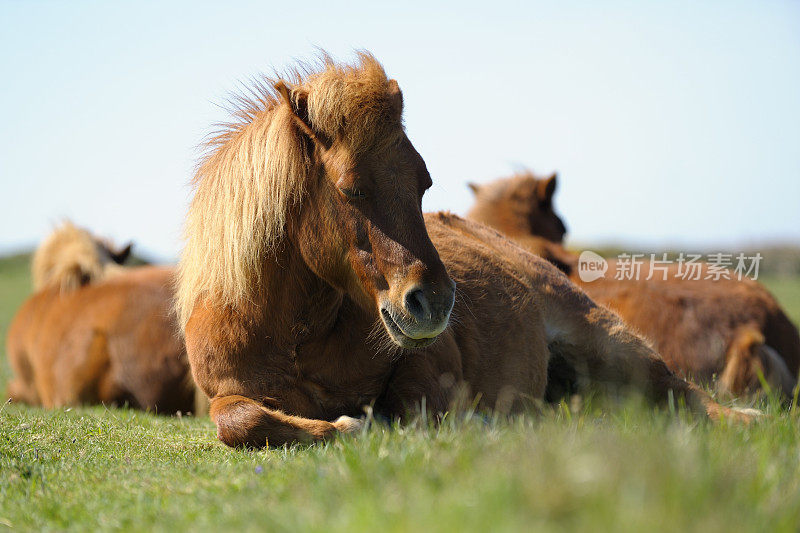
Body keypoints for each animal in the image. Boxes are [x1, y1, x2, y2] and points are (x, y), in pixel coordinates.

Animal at [177, 54, 756, 446]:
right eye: (352, 189)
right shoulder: (226, 395)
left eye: (423, 184)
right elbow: (241, 421)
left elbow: (409, 408)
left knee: (677, 388)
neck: (297, 335)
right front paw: (340, 425)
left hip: (604, 340)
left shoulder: (427, 367)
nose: (433, 302)